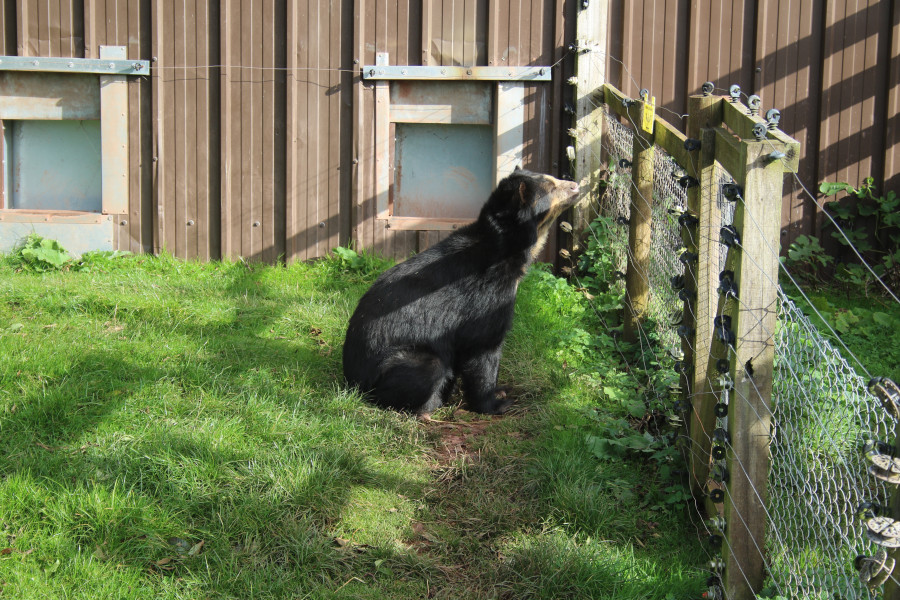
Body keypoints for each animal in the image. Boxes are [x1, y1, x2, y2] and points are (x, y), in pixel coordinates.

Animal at [342, 166, 580, 414]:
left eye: (554, 179)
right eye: (551, 187)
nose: (576, 185)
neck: (507, 248)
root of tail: (352, 380)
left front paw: (498, 391)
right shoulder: (486, 298)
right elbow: (484, 348)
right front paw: (496, 403)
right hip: (398, 365)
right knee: (427, 369)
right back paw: (427, 407)